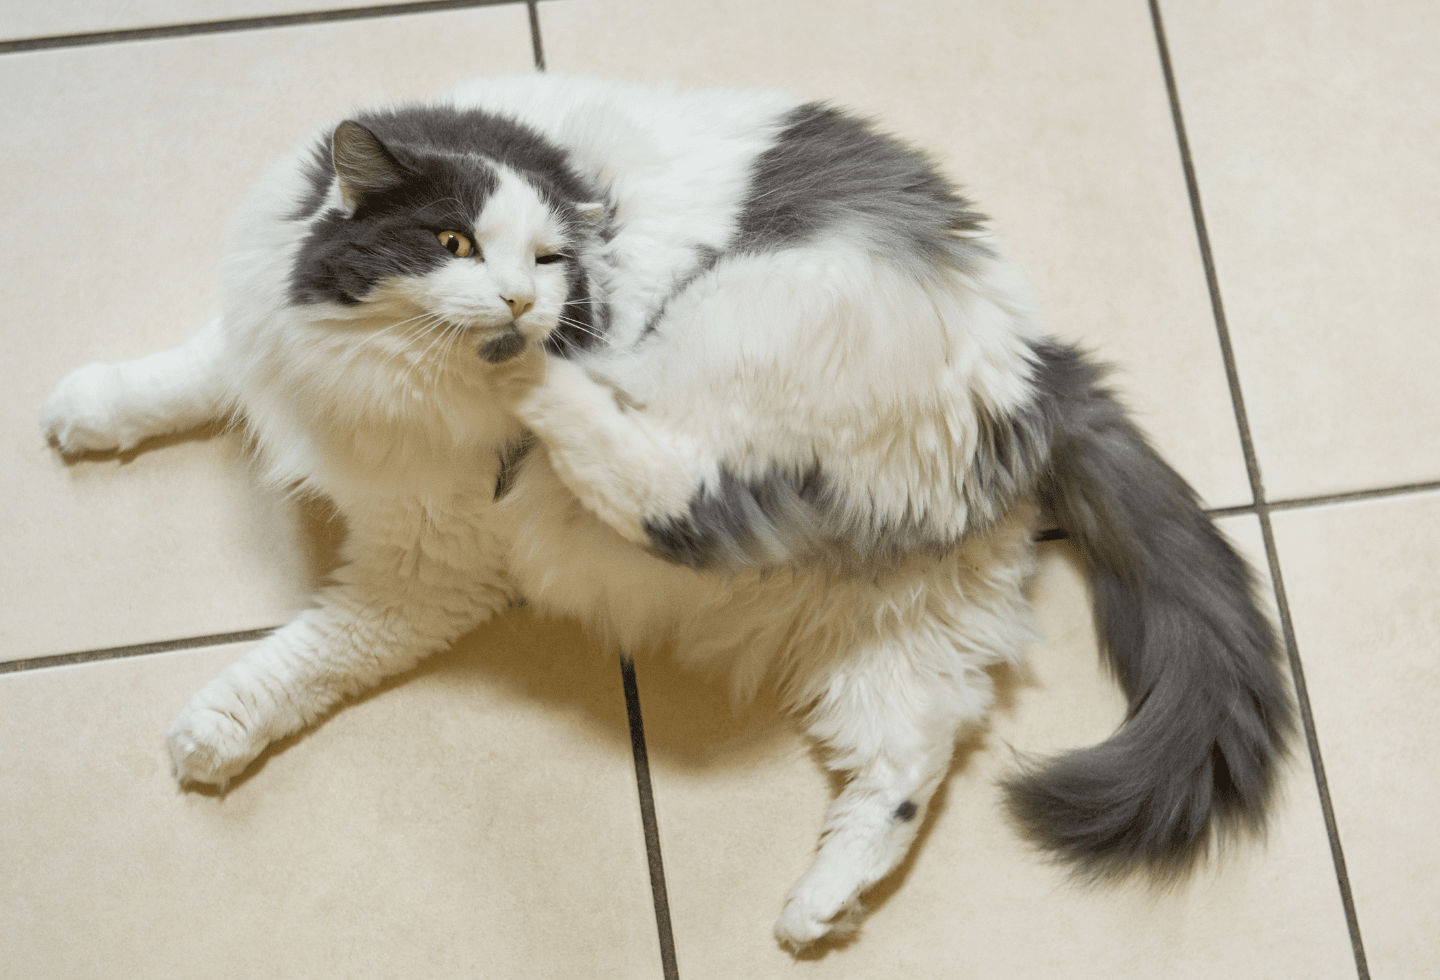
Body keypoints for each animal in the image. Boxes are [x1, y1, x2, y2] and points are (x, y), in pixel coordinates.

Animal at [42, 74, 1296, 949]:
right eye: (451, 241)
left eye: (551, 257)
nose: (521, 302)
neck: (381, 381)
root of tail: (1036, 368)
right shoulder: (275, 352)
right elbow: (186, 374)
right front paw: (83, 413)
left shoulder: (430, 566)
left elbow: (304, 654)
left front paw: (211, 732)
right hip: (902, 628)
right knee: (907, 762)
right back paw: (818, 906)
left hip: (738, 343)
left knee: (675, 490)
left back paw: (546, 389)